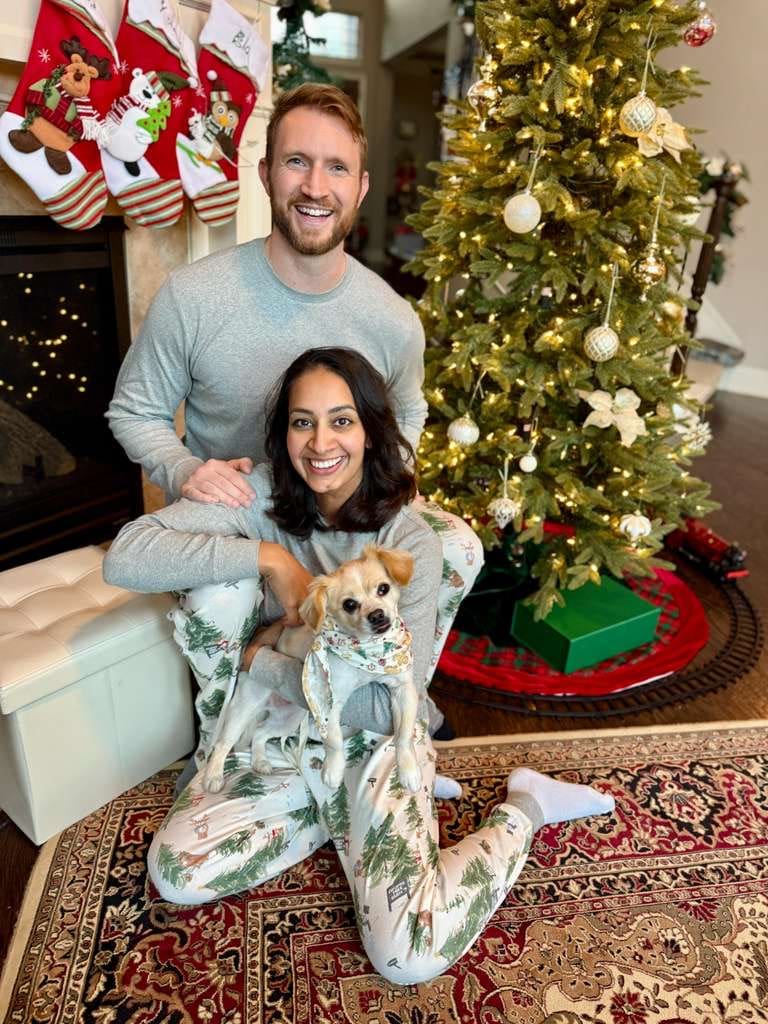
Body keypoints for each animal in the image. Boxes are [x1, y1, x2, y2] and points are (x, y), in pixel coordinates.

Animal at [202, 545, 421, 795]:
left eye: (383, 588)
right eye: (349, 605)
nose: (376, 615)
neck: (367, 650)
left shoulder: (404, 689)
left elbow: (404, 735)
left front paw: (408, 771)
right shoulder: (328, 701)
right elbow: (333, 741)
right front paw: (333, 770)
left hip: (288, 718)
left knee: (260, 733)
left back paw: (260, 761)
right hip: (244, 708)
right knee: (223, 743)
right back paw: (213, 776)